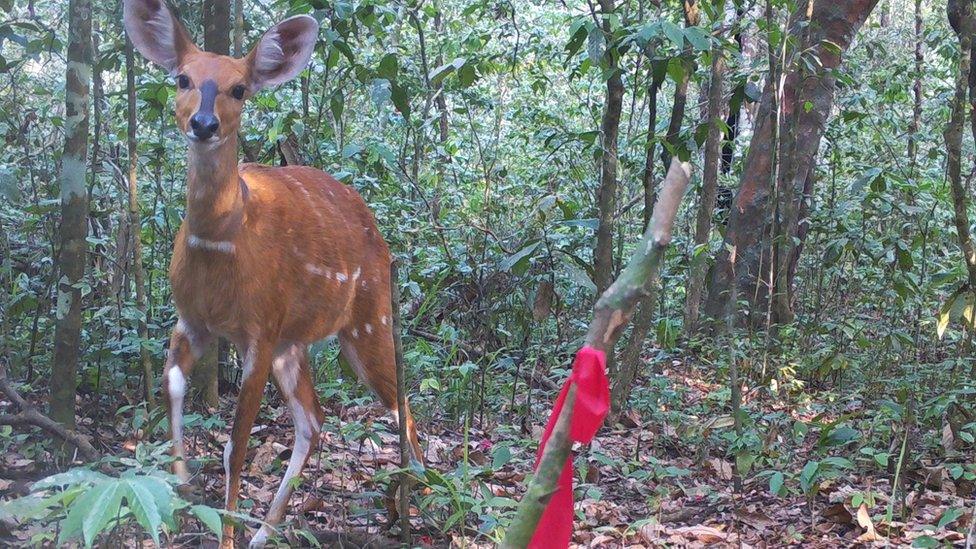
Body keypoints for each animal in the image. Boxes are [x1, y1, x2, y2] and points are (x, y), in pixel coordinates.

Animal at [122, 2, 424, 544]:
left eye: (239, 88)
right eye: (182, 78)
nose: (203, 123)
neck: (224, 242)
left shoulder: (258, 331)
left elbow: (235, 446)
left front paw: (223, 534)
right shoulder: (193, 321)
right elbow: (172, 385)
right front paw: (181, 485)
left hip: (369, 319)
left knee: (402, 408)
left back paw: (419, 505)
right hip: (294, 341)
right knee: (314, 420)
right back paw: (267, 532)